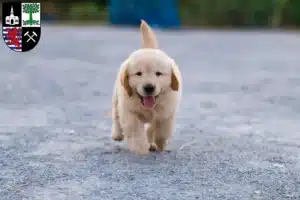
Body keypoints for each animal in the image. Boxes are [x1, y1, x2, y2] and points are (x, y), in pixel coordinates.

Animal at [111, 19, 182, 155]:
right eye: (139, 73)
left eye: (158, 73)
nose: (149, 87)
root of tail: (148, 48)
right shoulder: (129, 111)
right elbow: (136, 132)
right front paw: (141, 149)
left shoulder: (167, 112)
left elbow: (162, 130)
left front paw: (159, 144)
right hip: (117, 97)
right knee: (116, 115)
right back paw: (117, 134)